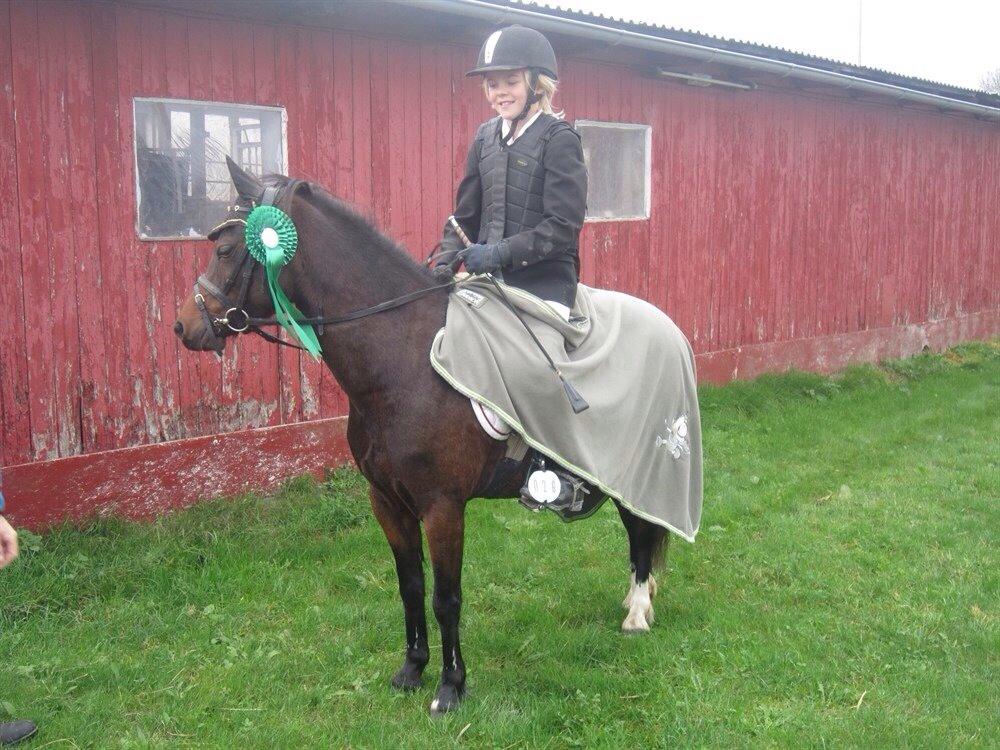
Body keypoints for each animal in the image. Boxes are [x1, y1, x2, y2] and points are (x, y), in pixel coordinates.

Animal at [174, 158, 669, 715]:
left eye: (225, 250)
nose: (185, 326)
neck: (402, 365)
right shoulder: (387, 501)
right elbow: (410, 586)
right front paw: (412, 668)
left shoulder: (442, 506)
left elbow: (445, 597)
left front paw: (450, 687)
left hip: (638, 467)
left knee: (642, 529)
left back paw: (637, 613)